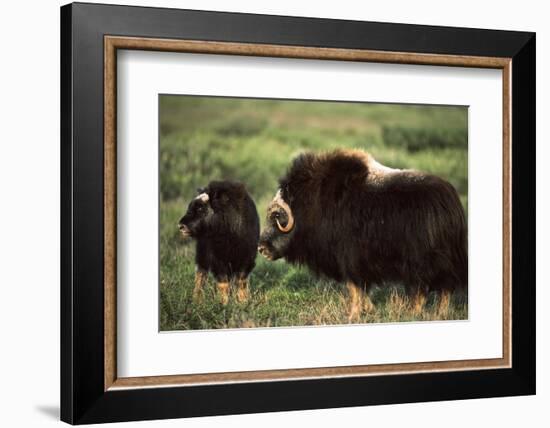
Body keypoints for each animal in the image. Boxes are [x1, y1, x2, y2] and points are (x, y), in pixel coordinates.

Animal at [260, 149, 470, 320]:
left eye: (276, 216)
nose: (261, 248)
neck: (312, 204)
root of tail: (451, 203)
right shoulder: (357, 263)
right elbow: (361, 290)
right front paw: (370, 310)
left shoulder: (350, 259)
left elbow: (354, 289)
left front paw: (353, 315)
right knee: (441, 288)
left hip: (423, 262)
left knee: (429, 289)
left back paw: (417, 314)